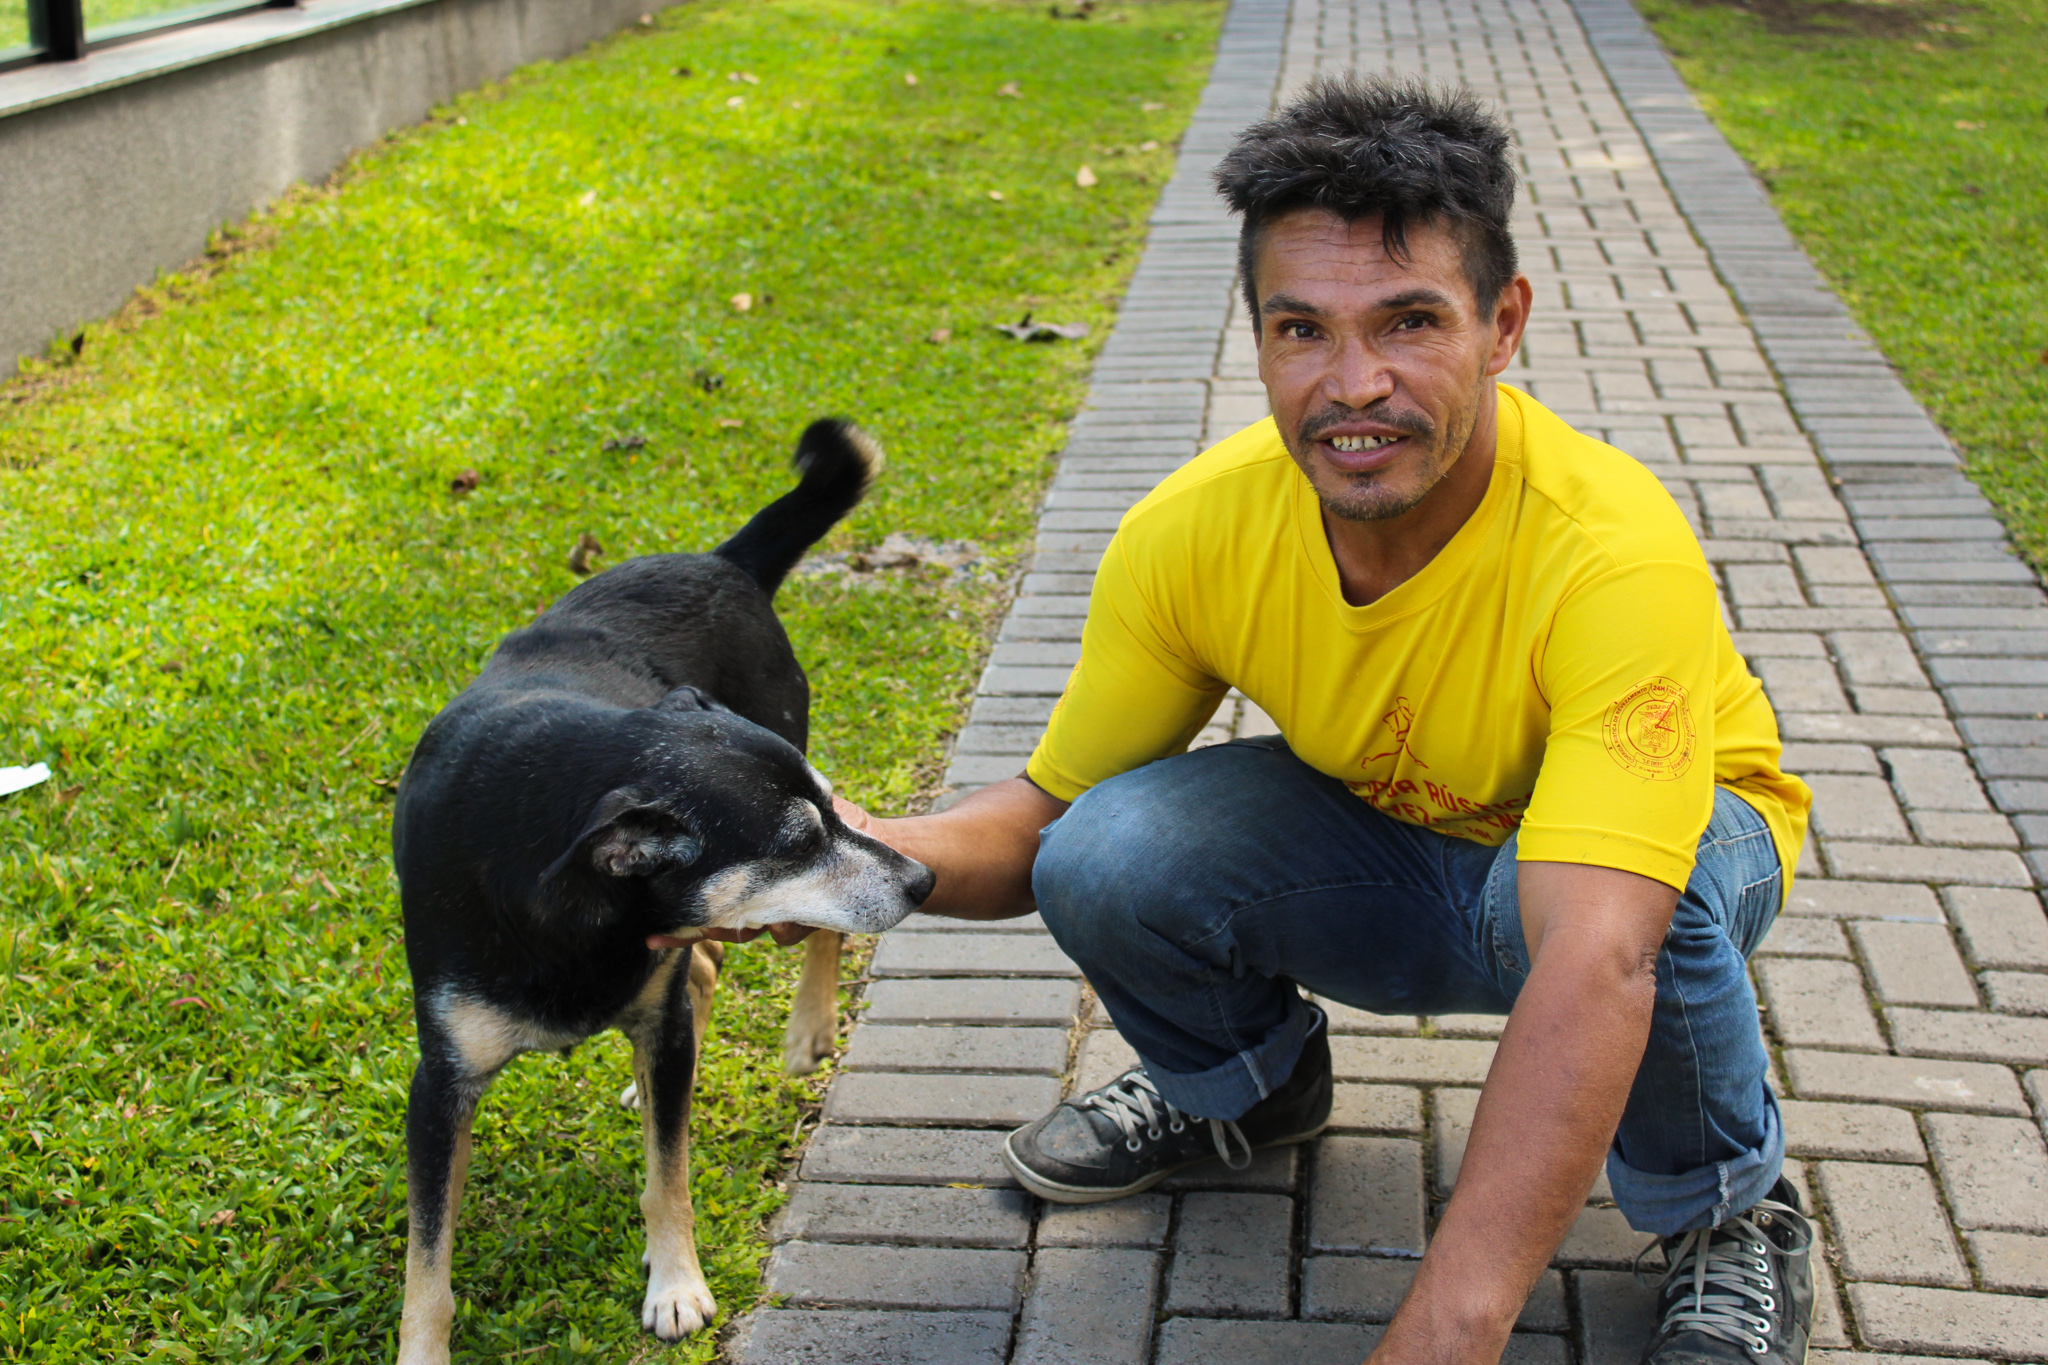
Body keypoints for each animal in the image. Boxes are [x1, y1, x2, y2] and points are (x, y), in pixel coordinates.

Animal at [387, 421, 933, 1358]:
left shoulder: (660, 1008)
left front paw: (676, 1282)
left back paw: (809, 1025)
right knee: (702, 976)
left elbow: (666, 1176)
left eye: (821, 821)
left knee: (795, 942)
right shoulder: (440, 1083)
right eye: (798, 842)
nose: (924, 879)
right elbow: (429, 1260)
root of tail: (723, 561)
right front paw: (422, 1348)